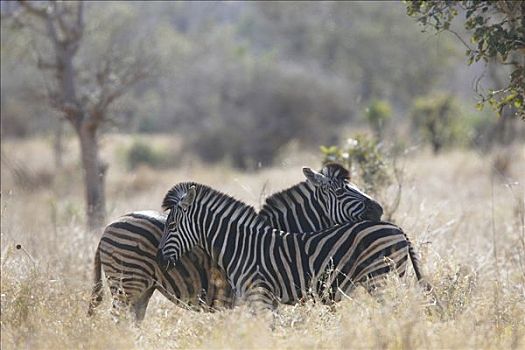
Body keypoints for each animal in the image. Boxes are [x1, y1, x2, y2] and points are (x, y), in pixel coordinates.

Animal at [156, 182, 426, 310]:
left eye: (172, 226)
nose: (159, 259)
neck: (240, 246)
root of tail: (397, 228)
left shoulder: (260, 295)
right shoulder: (265, 299)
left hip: (381, 278)